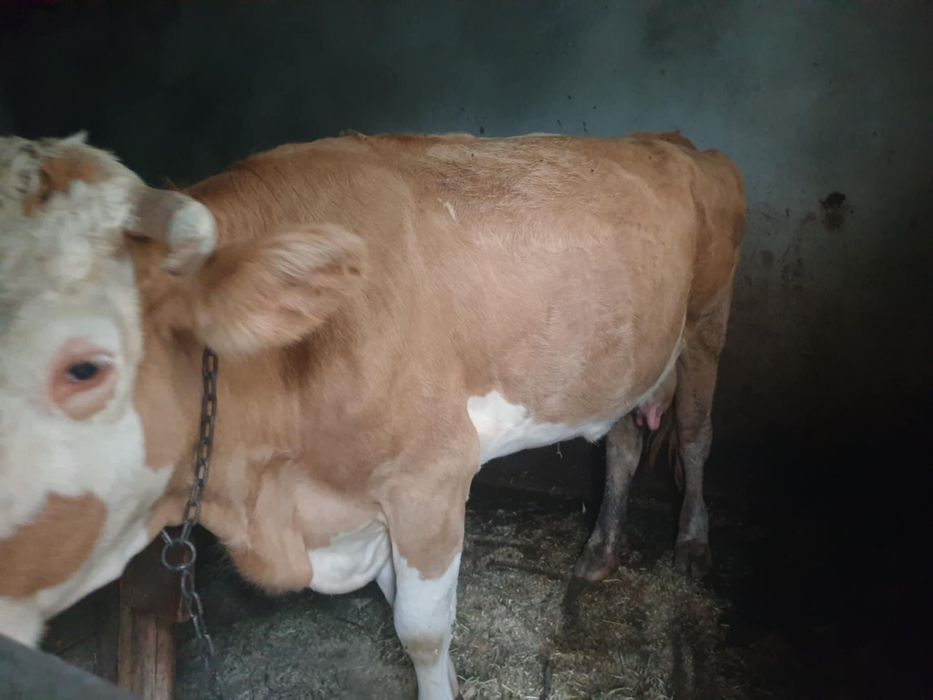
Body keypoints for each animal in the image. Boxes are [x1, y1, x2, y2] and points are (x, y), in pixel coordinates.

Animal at [0, 130, 744, 699]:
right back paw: (599, 551)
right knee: (621, 443)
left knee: (695, 435)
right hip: (629, 359)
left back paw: (690, 542)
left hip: (707, 323)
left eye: (85, 368)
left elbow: (421, 630)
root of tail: (675, 141)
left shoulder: (431, 478)